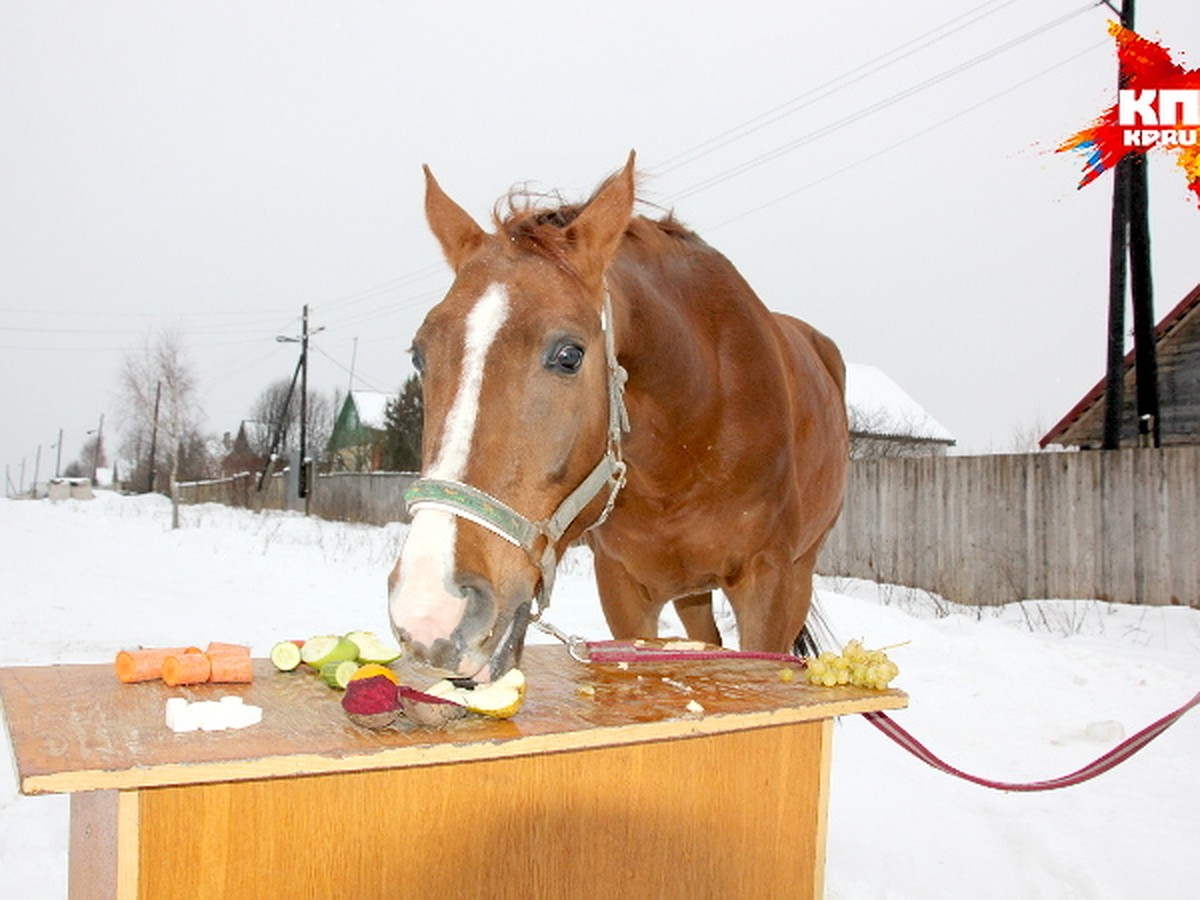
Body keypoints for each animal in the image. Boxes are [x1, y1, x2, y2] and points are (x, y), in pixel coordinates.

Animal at [388, 153, 849, 681]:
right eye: (419, 355)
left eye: (569, 355)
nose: (429, 610)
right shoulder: (623, 590)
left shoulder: (767, 584)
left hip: (801, 572)